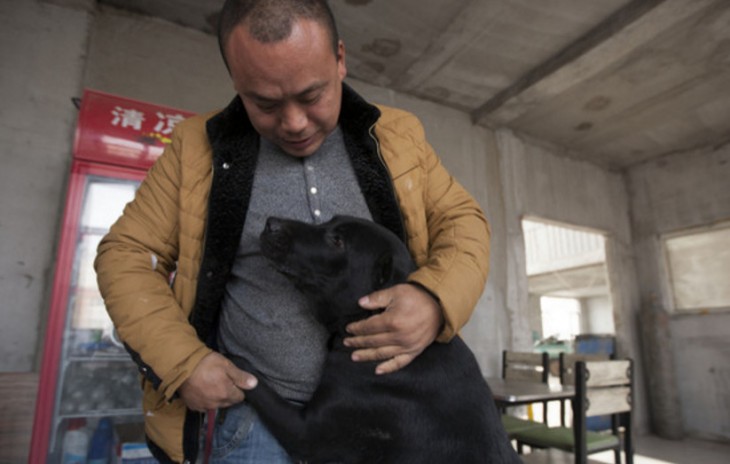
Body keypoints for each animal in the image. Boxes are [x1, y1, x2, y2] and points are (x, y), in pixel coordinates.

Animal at [233, 216, 516, 462]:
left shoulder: (308, 432)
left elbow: (256, 384)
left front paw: (233, 362)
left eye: (337, 241)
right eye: (328, 221)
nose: (271, 223)